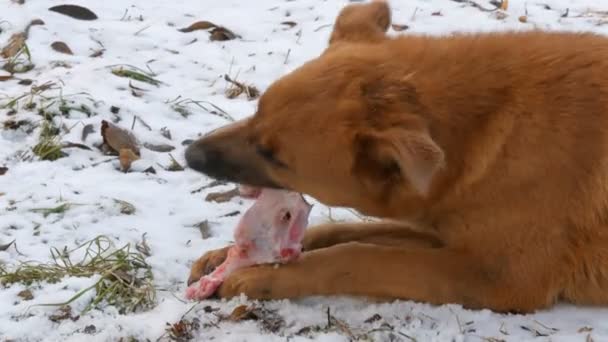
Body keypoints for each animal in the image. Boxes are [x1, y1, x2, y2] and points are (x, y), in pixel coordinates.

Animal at [183, 0, 608, 312]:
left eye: (273, 156)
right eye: (257, 111)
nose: (190, 154)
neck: (487, 130)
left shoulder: (497, 275)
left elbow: (359, 256)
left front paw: (267, 277)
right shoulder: (439, 225)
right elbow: (343, 231)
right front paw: (227, 255)